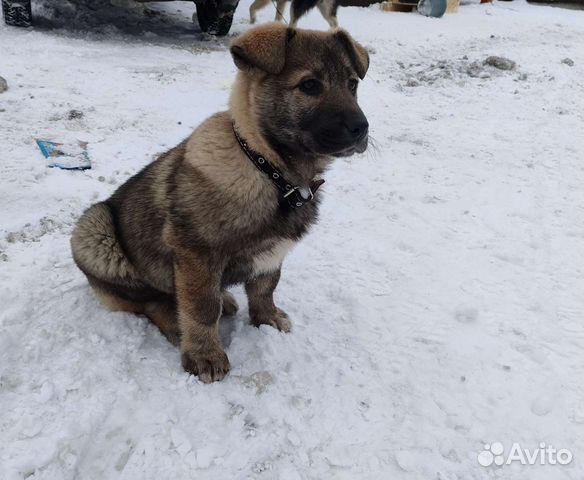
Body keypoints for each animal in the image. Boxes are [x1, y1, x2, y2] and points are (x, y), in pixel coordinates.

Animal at [69, 22, 370, 384]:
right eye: (310, 85)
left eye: (353, 84)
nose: (361, 128)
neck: (268, 170)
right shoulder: (196, 252)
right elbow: (201, 307)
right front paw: (205, 355)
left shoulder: (272, 252)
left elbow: (265, 286)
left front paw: (266, 318)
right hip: (94, 230)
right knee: (151, 300)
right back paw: (176, 323)